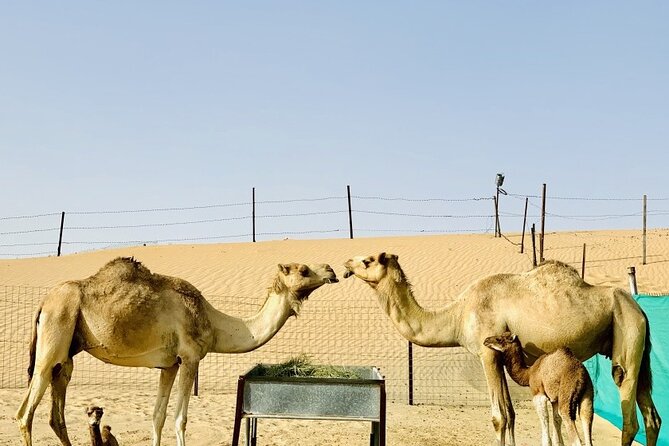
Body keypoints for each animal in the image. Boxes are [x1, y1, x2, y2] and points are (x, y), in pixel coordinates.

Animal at [16, 257, 338, 446]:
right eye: (303, 270)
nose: (332, 270)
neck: (213, 322)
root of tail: (43, 303)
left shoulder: (169, 365)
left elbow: (157, 416)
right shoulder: (190, 358)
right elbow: (179, 419)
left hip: (67, 355)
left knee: (56, 414)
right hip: (55, 333)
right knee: (25, 413)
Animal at [343, 253, 660, 446]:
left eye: (368, 260)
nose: (346, 262)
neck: (458, 315)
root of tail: (641, 310)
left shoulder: (488, 353)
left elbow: (499, 417)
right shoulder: (502, 357)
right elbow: (511, 414)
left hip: (627, 335)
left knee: (629, 413)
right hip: (640, 349)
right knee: (652, 418)